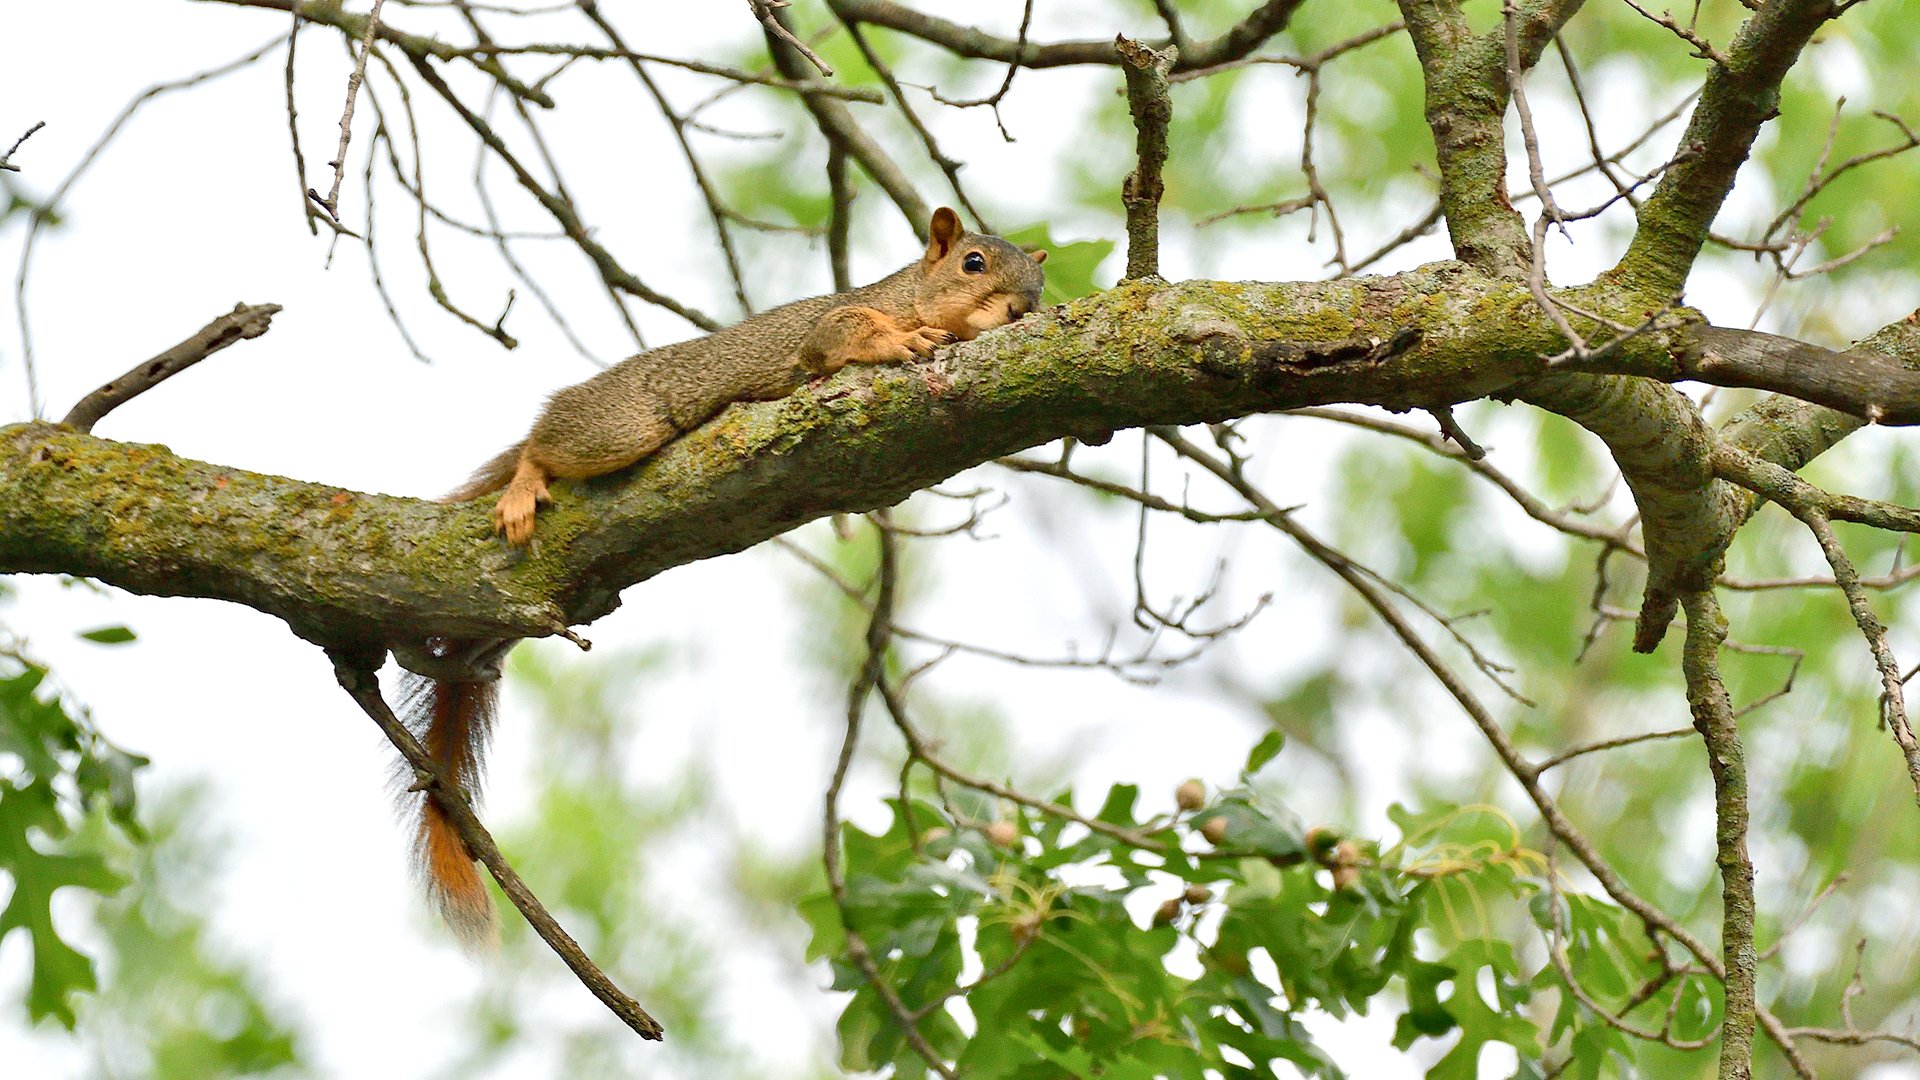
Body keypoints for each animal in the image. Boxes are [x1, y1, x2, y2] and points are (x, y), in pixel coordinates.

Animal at [395, 207, 1047, 942]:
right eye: (972, 262)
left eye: (1039, 288)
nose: (1021, 309)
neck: (909, 292)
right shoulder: (827, 328)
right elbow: (844, 335)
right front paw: (904, 340)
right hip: (620, 426)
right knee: (543, 443)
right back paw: (524, 484)